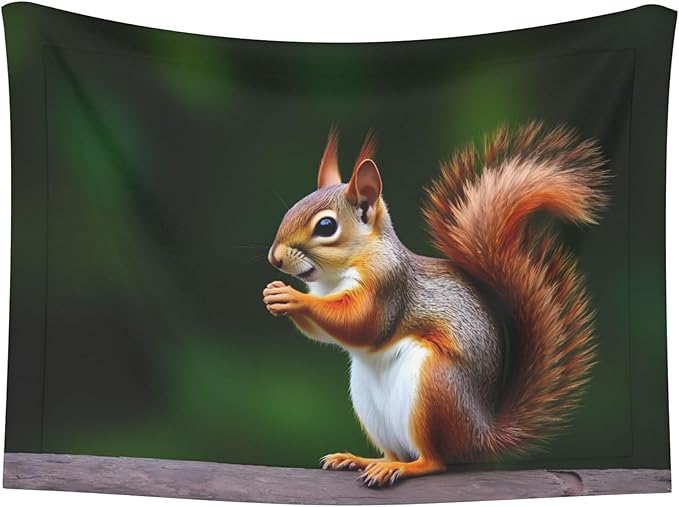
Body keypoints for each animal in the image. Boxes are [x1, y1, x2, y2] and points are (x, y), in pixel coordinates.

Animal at [262, 122, 607, 488]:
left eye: (326, 226)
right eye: (291, 209)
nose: (275, 258)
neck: (333, 278)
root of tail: (480, 436)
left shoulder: (388, 285)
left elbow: (362, 322)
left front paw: (293, 297)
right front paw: (274, 294)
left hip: (435, 389)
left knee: (434, 461)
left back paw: (404, 467)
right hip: (370, 404)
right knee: (395, 451)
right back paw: (361, 459)